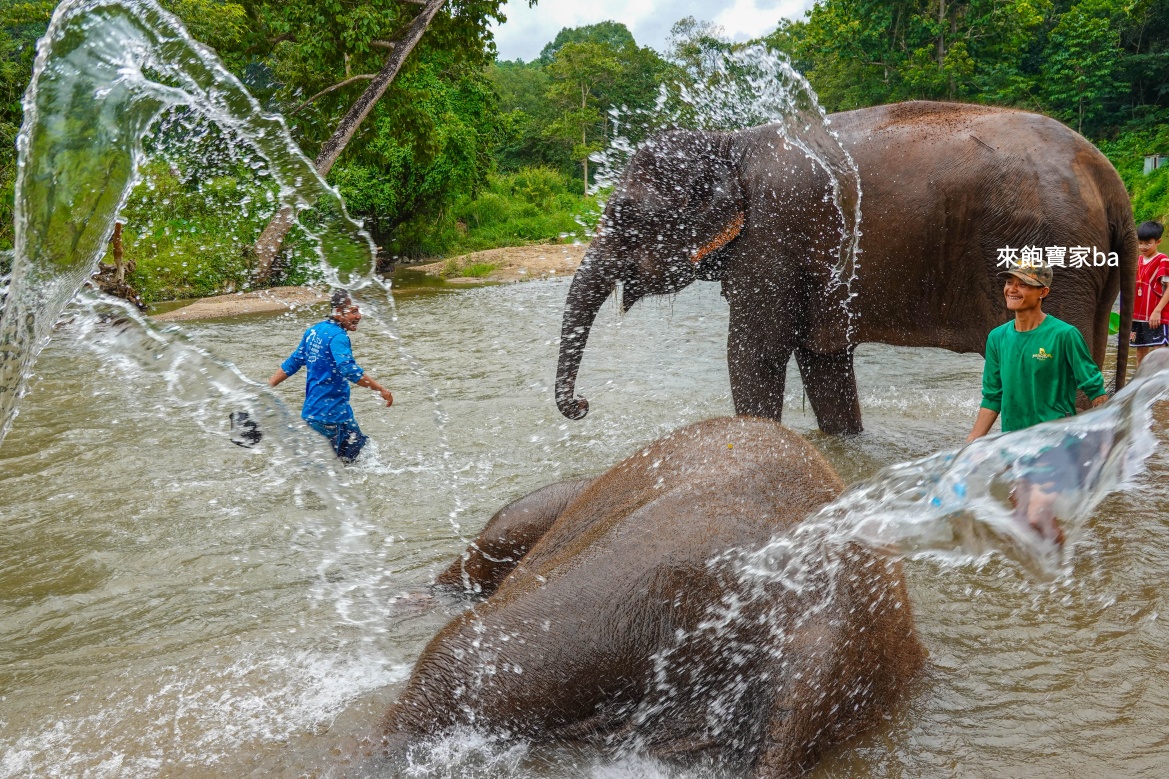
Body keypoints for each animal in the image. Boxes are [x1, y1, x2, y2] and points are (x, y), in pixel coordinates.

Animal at [555, 101, 1138, 434]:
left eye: (627, 216)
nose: (582, 406)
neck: (729, 142)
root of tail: (1111, 180)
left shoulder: (772, 240)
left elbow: (754, 354)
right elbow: (823, 360)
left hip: (1055, 251)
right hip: (1089, 269)